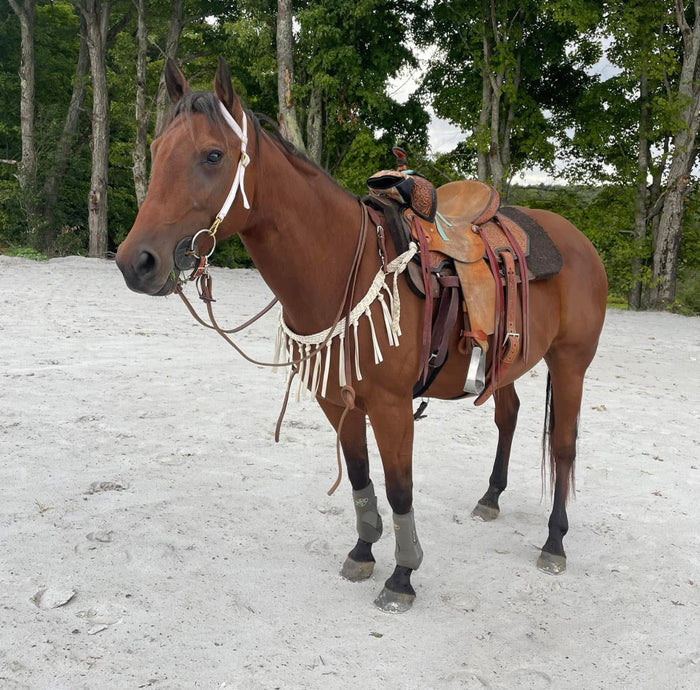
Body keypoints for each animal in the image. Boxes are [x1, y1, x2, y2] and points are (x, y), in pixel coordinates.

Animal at [115, 57, 608, 612]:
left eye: (213, 155)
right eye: (156, 150)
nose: (136, 262)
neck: (343, 266)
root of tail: (576, 239)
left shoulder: (393, 408)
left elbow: (399, 489)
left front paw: (402, 576)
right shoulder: (338, 400)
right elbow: (359, 475)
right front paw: (363, 552)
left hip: (570, 363)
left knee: (563, 445)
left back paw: (554, 542)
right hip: (506, 362)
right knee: (509, 416)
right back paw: (490, 498)